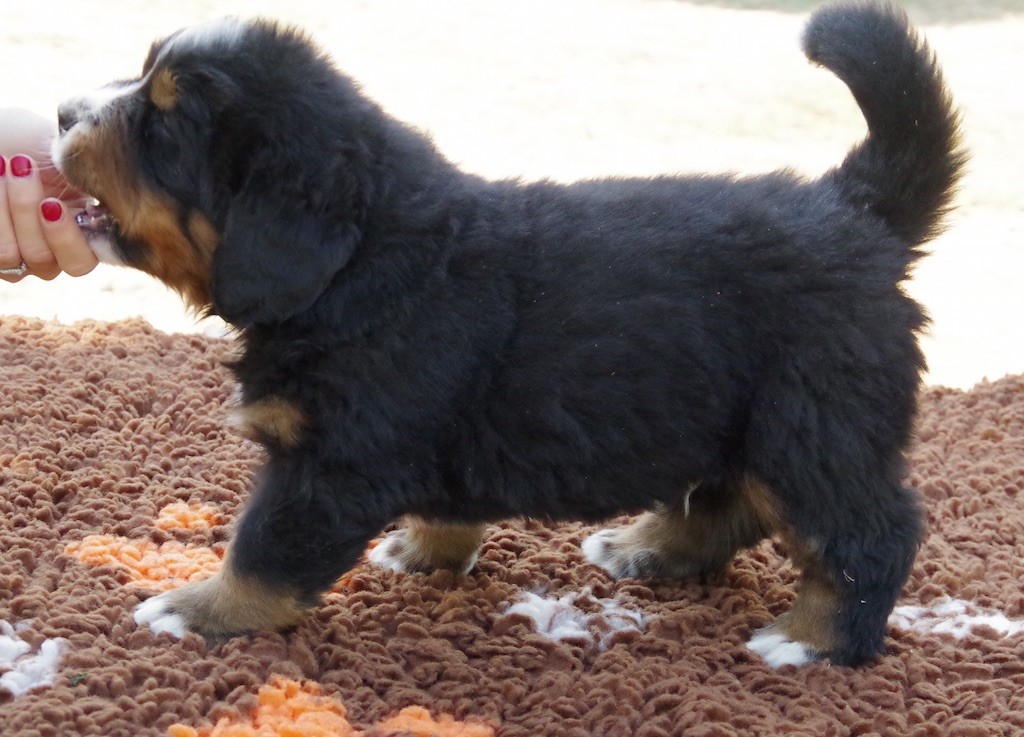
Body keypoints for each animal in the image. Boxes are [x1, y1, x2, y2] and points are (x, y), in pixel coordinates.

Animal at [52, 1, 963, 667]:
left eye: (162, 128)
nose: (62, 109)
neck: (361, 271)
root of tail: (855, 211)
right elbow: (447, 506)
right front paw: (427, 551)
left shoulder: (330, 462)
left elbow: (262, 548)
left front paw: (195, 609)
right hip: (736, 415)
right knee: (728, 502)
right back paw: (642, 548)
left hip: (813, 424)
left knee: (866, 533)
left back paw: (812, 640)